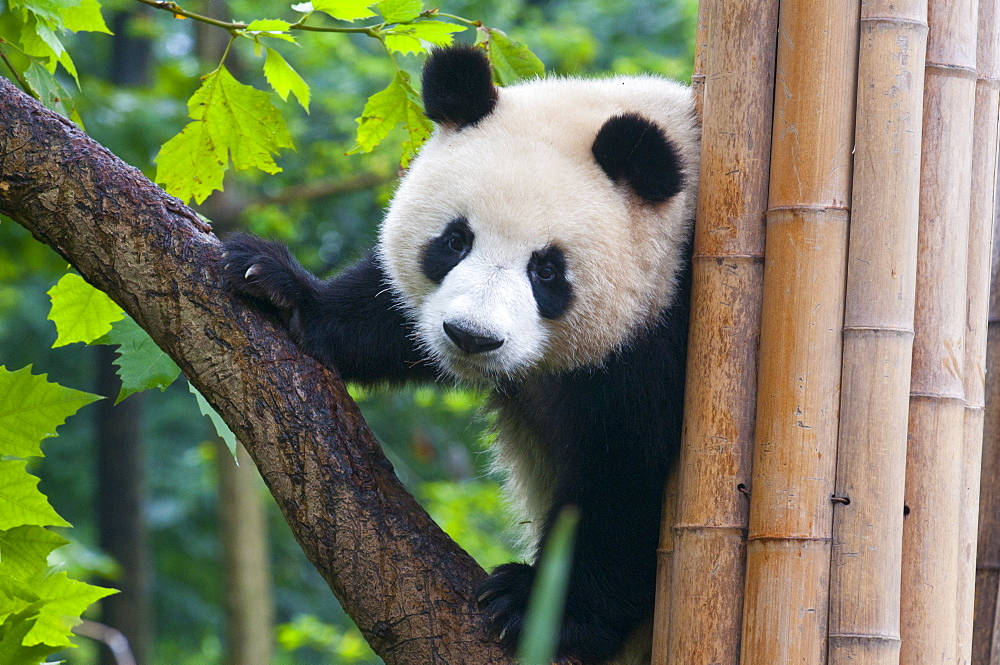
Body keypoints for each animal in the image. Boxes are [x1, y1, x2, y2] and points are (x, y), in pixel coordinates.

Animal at [223, 44, 700, 660]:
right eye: (455, 241)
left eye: (547, 270)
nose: (471, 336)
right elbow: (390, 315)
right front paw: (278, 284)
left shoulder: (669, 324)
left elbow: (627, 476)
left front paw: (537, 606)